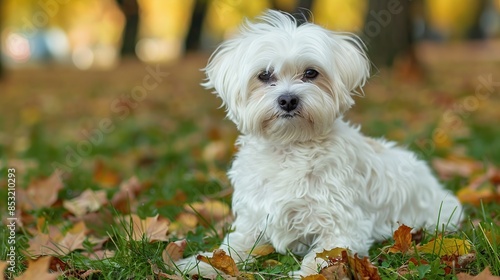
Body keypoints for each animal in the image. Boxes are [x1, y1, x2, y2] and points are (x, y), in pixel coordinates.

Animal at [178, 9, 462, 276]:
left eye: (311, 73)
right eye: (265, 75)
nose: (288, 100)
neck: (290, 148)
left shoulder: (343, 226)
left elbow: (322, 257)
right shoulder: (252, 221)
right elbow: (228, 249)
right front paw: (200, 263)